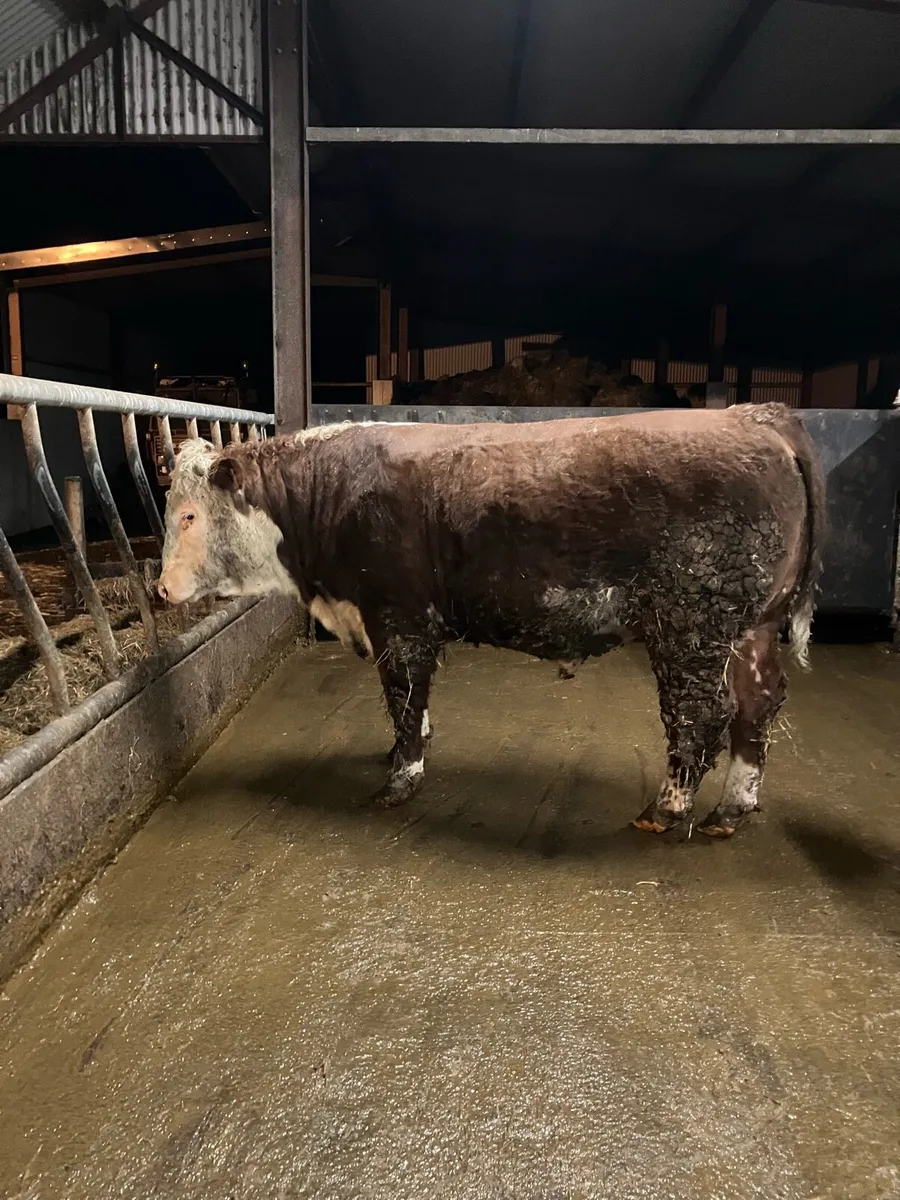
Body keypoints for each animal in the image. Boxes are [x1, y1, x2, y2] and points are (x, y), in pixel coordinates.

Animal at [158, 405, 825, 838]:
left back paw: (666, 810)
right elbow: (413, 703)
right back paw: (730, 810)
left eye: (189, 516)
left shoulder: (398, 618)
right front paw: (409, 749)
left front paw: (400, 778)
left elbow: (403, 694)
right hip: (750, 628)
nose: (162, 589)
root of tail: (754, 415)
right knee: (758, 705)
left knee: (701, 714)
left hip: (691, 625)